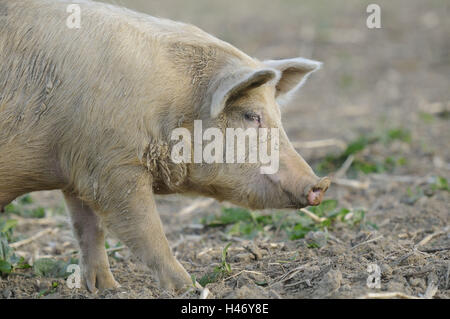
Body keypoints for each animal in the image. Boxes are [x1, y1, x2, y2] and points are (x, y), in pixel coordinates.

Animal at [0, 0, 330, 294]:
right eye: (252, 116)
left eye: (279, 115)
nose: (321, 184)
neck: (172, 101)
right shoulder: (112, 167)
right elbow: (147, 231)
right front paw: (191, 288)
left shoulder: (78, 168)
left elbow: (89, 230)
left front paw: (107, 288)